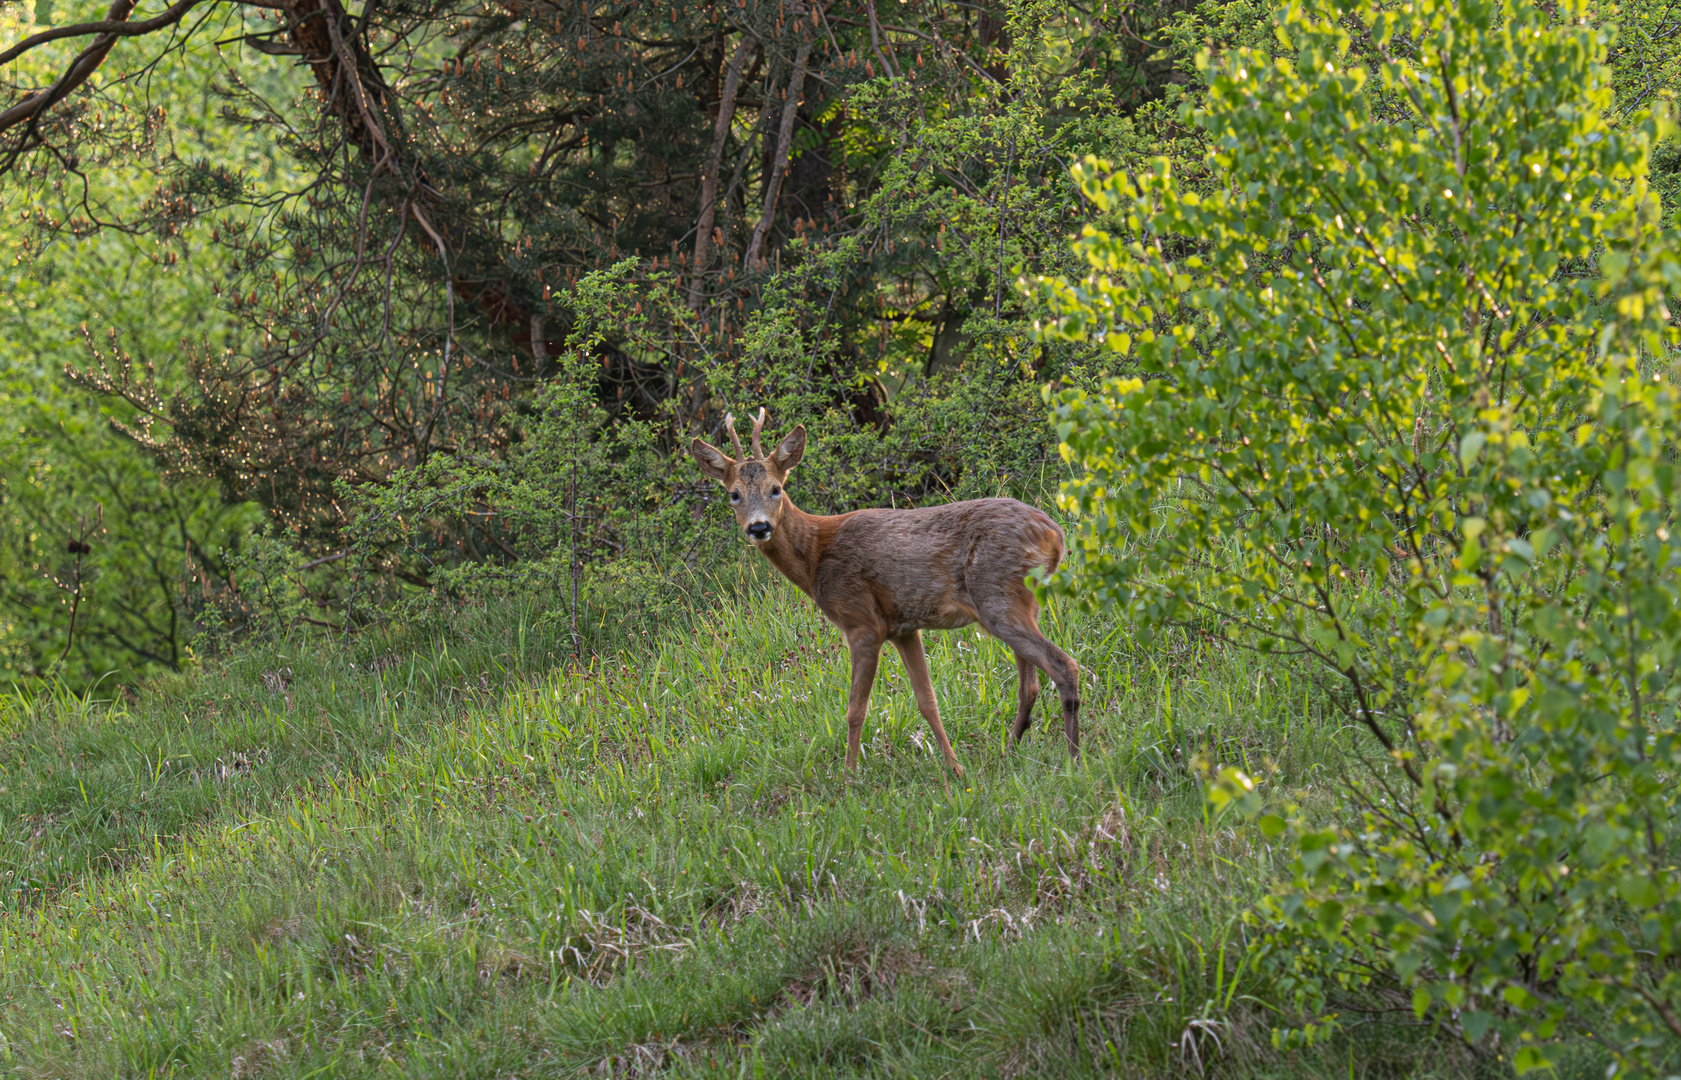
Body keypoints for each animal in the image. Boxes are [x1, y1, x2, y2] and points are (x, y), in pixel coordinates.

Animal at [689, 405, 1082, 773]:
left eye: (776, 488)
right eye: (734, 494)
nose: (759, 527)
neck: (815, 556)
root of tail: (1055, 535)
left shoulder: (862, 622)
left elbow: (855, 709)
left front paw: (848, 777)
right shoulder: (903, 628)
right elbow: (927, 701)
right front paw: (955, 768)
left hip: (997, 597)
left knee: (1064, 665)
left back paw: (1074, 758)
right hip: (1016, 604)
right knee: (1030, 682)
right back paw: (1010, 752)